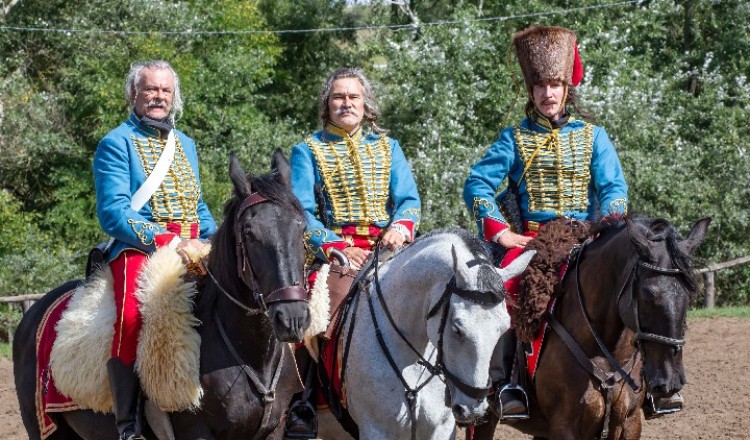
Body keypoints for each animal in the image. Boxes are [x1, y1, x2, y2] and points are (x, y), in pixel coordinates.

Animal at [12, 150, 312, 438]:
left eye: (302, 228)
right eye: (249, 232)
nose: (292, 318)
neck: (251, 356)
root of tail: (34, 313)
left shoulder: (274, 429)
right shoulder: (195, 432)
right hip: (44, 429)